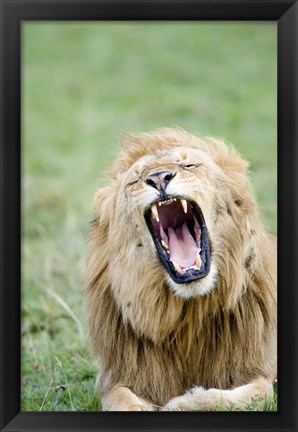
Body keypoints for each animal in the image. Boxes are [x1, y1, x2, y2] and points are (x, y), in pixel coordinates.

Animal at [84, 126, 278, 410]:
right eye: (135, 180)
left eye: (189, 165)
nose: (159, 178)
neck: (188, 314)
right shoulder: (118, 377)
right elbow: (122, 400)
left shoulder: (261, 371)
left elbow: (243, 395)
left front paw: (182, 402)